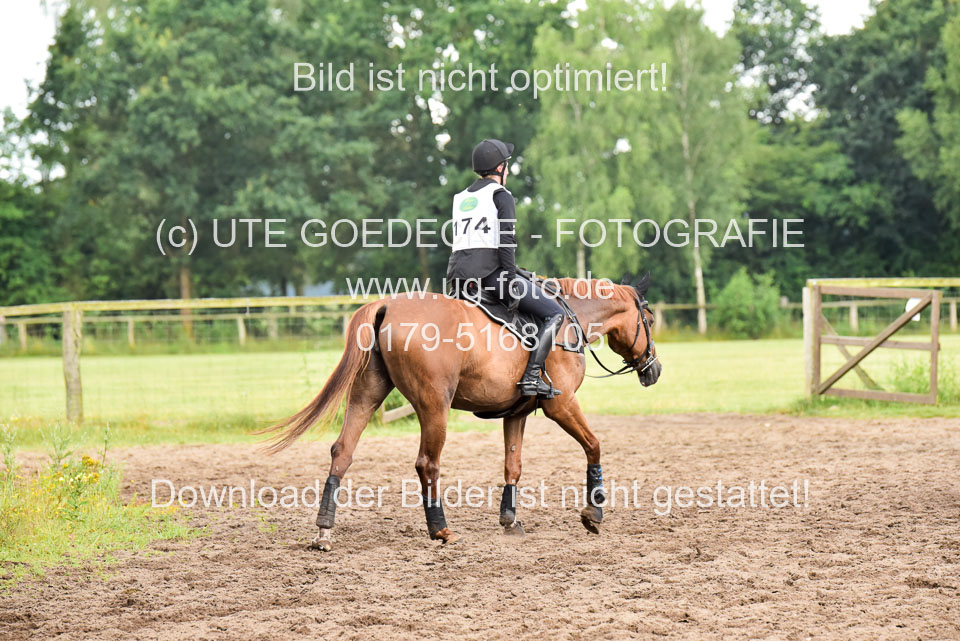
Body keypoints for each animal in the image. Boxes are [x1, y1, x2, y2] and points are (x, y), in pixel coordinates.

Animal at [263, 275, 662, 550]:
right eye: (650, 320)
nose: (654, 370)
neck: (569, 319)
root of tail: (387, 305)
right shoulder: (561, 406)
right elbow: (594, 446)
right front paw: (594, 514)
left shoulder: (516, 413)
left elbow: (513, 466)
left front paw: (509, 521)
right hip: (434, 406)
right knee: (427, 464)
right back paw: (440, 529)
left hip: (366, 395)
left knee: (342, 452)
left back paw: (323, 531)